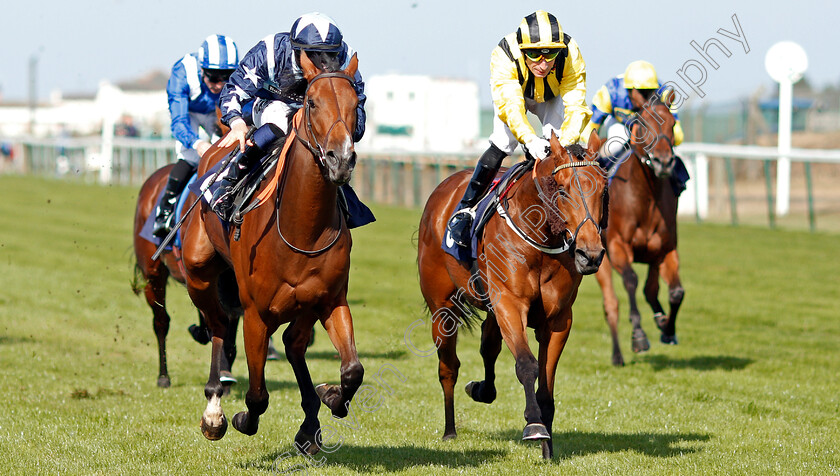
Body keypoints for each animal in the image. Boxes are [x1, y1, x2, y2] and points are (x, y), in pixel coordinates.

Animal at [180, 49, 364, 454]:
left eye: (355, 104)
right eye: (312, 103)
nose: (340, 159)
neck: (301, 228)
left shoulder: (329, 299)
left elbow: (352, 370)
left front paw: (331, 395)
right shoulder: (255, 314)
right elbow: (258, 395)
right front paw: (240, 418)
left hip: (303, 305)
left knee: (293, 345)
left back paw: (310, 423)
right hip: (198, 274)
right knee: (219, 324)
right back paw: (214, 409)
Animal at [420, 132, 612, 460]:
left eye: (602, 189)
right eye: (562, 190)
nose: (591, 255)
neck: (540, 239)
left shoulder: (558, 319)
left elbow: (546, 385)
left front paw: (548, 449)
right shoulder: (510, 305)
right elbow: (526, 364)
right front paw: (534, 426)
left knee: (488, 346)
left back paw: (482, 389)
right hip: (441, 309)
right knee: (448, 367)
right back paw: (449, 430)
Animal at [592, 88, 684, 364]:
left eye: (672, 124)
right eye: (642, 125)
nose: (663, 162)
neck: (646, 198)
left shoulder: (665, 249)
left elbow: (675, 292)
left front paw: (668, 329)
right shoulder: (617, 246)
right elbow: (631, 281)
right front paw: (639, 336)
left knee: (651, 290)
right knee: (611, 304)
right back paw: (617, 355)